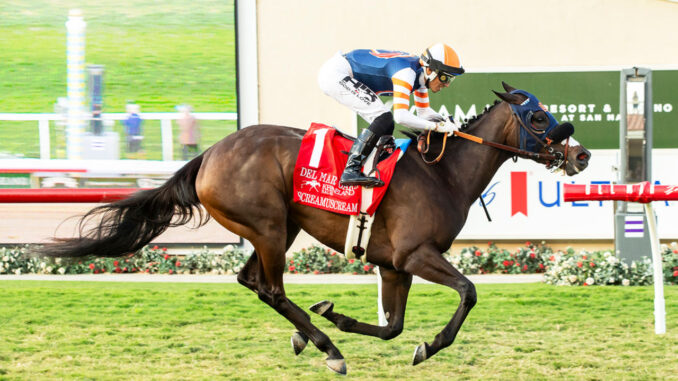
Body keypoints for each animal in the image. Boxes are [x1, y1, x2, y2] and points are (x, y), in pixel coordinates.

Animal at [37, 81, 592, 372]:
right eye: (539, 118)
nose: (581, 155)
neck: (444, 173)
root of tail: (208, 154)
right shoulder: (415, 255)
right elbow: (468, 292)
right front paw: (428, 345)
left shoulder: (393, 265)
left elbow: (393, 326)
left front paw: (341, 316)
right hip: (268, 227)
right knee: (271, 288)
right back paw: (328, 348)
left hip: (277, 228)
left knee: (251, 281)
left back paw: (312, 333)